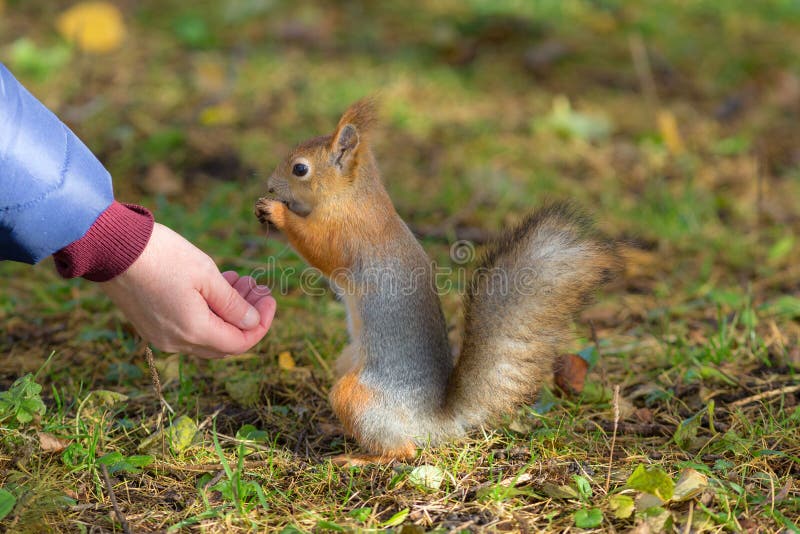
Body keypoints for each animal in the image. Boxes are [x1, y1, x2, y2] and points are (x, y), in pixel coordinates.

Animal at [255, 99, 620, 463]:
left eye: (300, 169)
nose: (270, 185)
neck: (354, 197)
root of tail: (434, 420)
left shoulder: (346, 234)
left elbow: (318, 247)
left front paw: (276, 211)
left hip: (356, 396)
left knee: (405, 449)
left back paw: (361, 457)